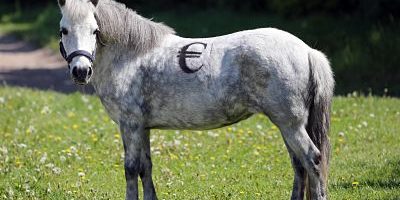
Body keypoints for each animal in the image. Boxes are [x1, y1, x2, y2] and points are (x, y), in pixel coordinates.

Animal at [57, 0, 334, 200]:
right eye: (64, 30)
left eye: (95, 30)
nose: (81, 71)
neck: (130, 56)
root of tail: (307, 50)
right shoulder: (143, 128)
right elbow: (146, 168)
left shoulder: (130, 126)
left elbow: (131, 169)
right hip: (288, 126)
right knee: (299, 166)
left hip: (290, 125)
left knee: (313, 161)